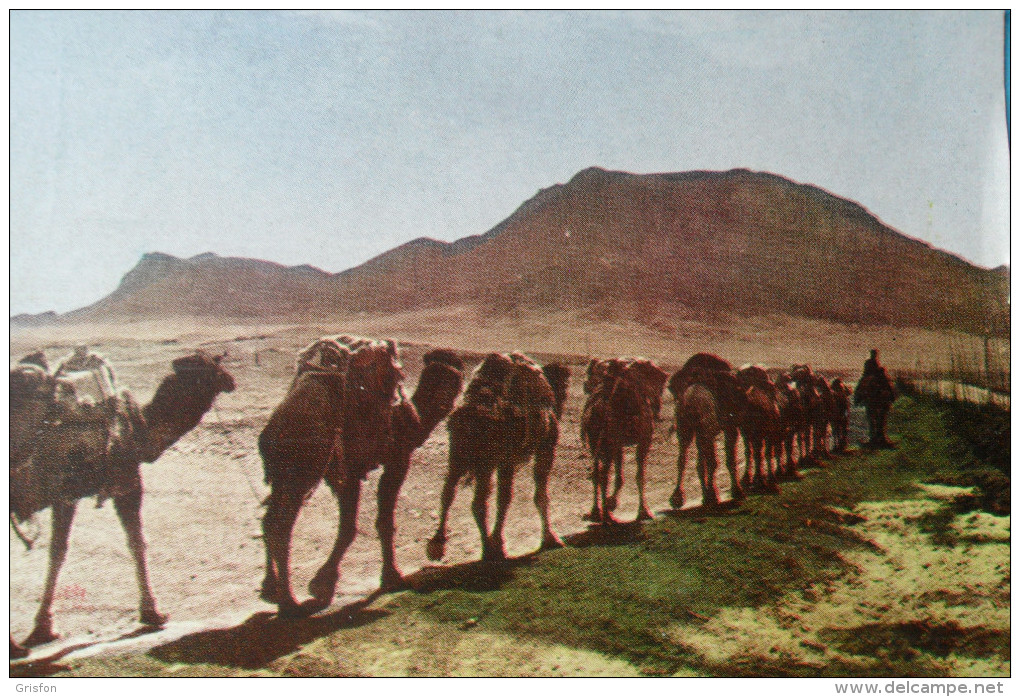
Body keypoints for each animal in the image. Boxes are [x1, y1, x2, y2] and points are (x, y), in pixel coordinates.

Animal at [10, 349, 234, 649]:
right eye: (210, 368)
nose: (231, 380)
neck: (140, 429)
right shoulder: (127, 481)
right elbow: (137, 543)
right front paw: (153, 613)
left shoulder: (66, 495)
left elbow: (58, 550)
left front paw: (43, 628)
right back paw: (13, 647)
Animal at [257, 338, 465, 616]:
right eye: (444, 375)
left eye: (456, 375)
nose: (447, 401)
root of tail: (276, 426)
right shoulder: (392, 461)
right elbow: (371, 524)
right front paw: (389, 576)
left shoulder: (346, 475)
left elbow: (352, 526)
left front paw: (325, 583)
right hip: (302, 472)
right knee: (281, 526)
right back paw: (290, 603)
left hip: (282, 475)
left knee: (268, 519)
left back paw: (270, 588)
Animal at [420, 357, 567, 563]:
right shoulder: (540, 449)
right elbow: (533, 496)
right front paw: (550, 539)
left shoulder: (504, 460)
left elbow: (505, 498)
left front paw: (499, 543)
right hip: (486, 460)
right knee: (479, 502)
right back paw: (488, 550)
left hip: (458, 454)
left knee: (449, 491)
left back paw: (438, 544)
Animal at [579, 359, 665, 522]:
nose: (585, 384)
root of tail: (599, 407)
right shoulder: (644, 440)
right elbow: (640, 474)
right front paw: (644, 512)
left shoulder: (618, 445)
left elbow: (620, 477)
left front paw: (611, 503)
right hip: (609, 442)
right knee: (603, 474)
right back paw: (608, 517)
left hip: (598, 442)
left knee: (597, 473)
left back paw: (597, 512)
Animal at [665, 355, 746, 506]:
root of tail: (691, 397)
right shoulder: (725, 428)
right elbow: (724, 460)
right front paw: (734, 492)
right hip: (699, 428)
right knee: (704, 460)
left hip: (688, 427)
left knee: (686, 459)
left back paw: (682, 498)